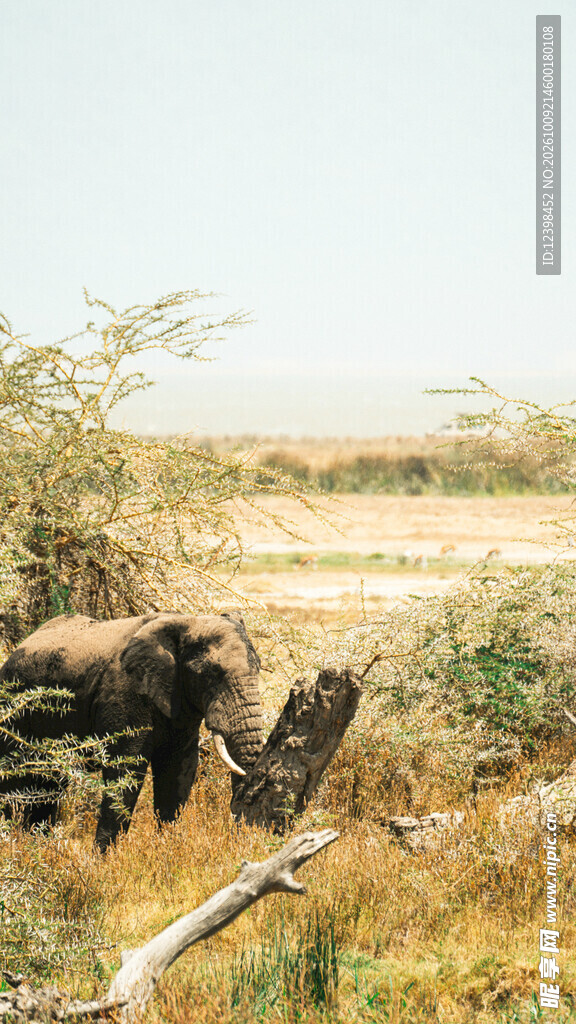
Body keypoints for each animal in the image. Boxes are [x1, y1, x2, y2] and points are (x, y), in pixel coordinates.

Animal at [0, 611, 264, 851]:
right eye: (211, 674)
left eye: (259, 668)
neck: (187, 620)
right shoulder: (125, 693)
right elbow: (125, 768)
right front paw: (103, 859)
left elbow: (179, 769)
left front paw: (167, 850)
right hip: (13, 707)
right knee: (15, 782)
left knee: (49, 785)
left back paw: (38, 847)